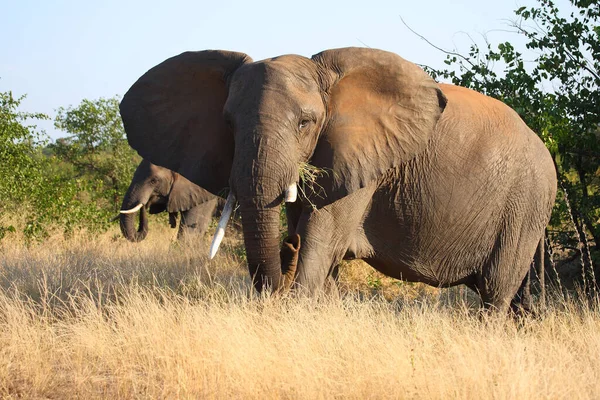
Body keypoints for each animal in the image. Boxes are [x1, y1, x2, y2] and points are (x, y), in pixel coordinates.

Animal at [119, 47, 556, 312]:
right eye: (228, 123)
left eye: (306, 123)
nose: (287, 246)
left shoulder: (363, 163)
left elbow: (321, 241)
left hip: (525, 205)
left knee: (496, 292)